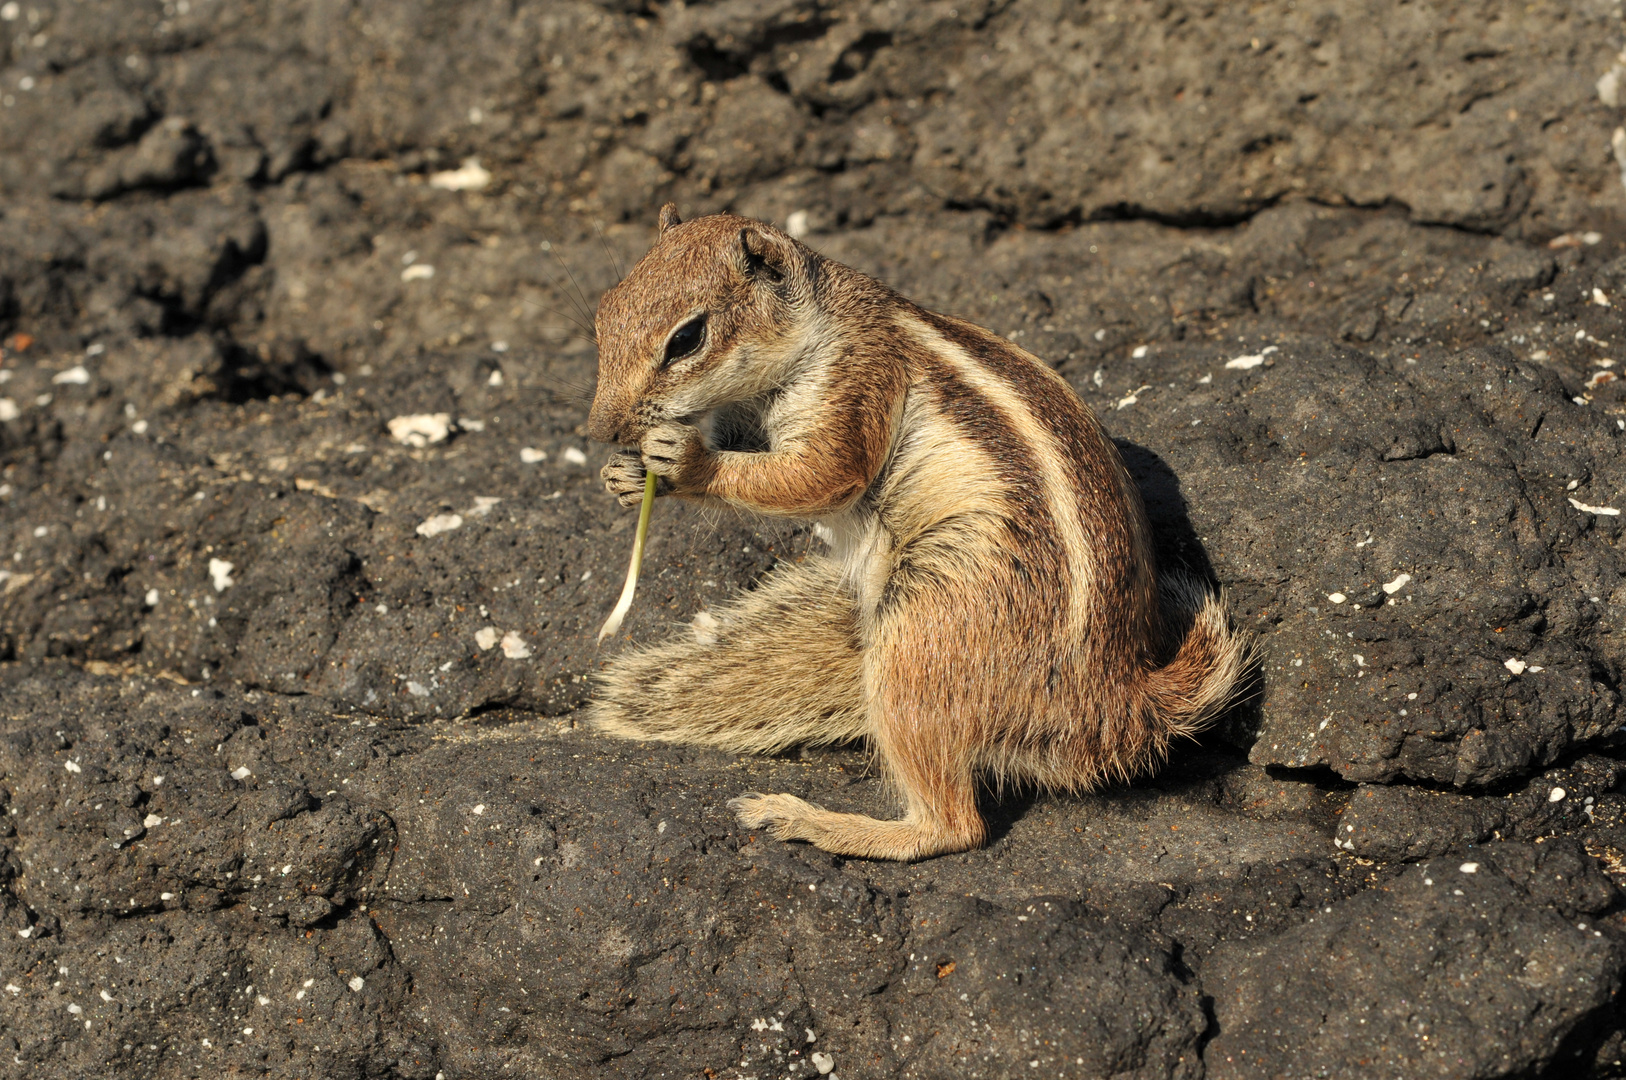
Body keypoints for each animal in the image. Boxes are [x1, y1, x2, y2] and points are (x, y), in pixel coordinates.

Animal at [588, 202, 1255, 858]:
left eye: (687, 338)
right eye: (603, 314)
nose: (601, 429)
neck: (823, 324)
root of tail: (1113, 704)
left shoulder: (856, 388)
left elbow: (818, 475)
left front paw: (687, 462)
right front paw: (626, 476)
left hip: (924, 628)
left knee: (953, 826)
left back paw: (815, 821)